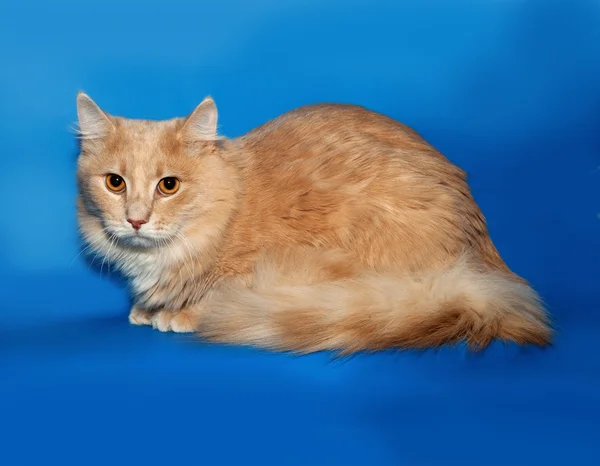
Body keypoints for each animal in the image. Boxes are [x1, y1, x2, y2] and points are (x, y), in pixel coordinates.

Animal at [76, 92, 552, 354]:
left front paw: (177, 314)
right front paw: (146, 309)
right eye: (115, 183)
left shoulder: (252, 271)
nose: (136, 220)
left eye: (169, 186)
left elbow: (211, 295)